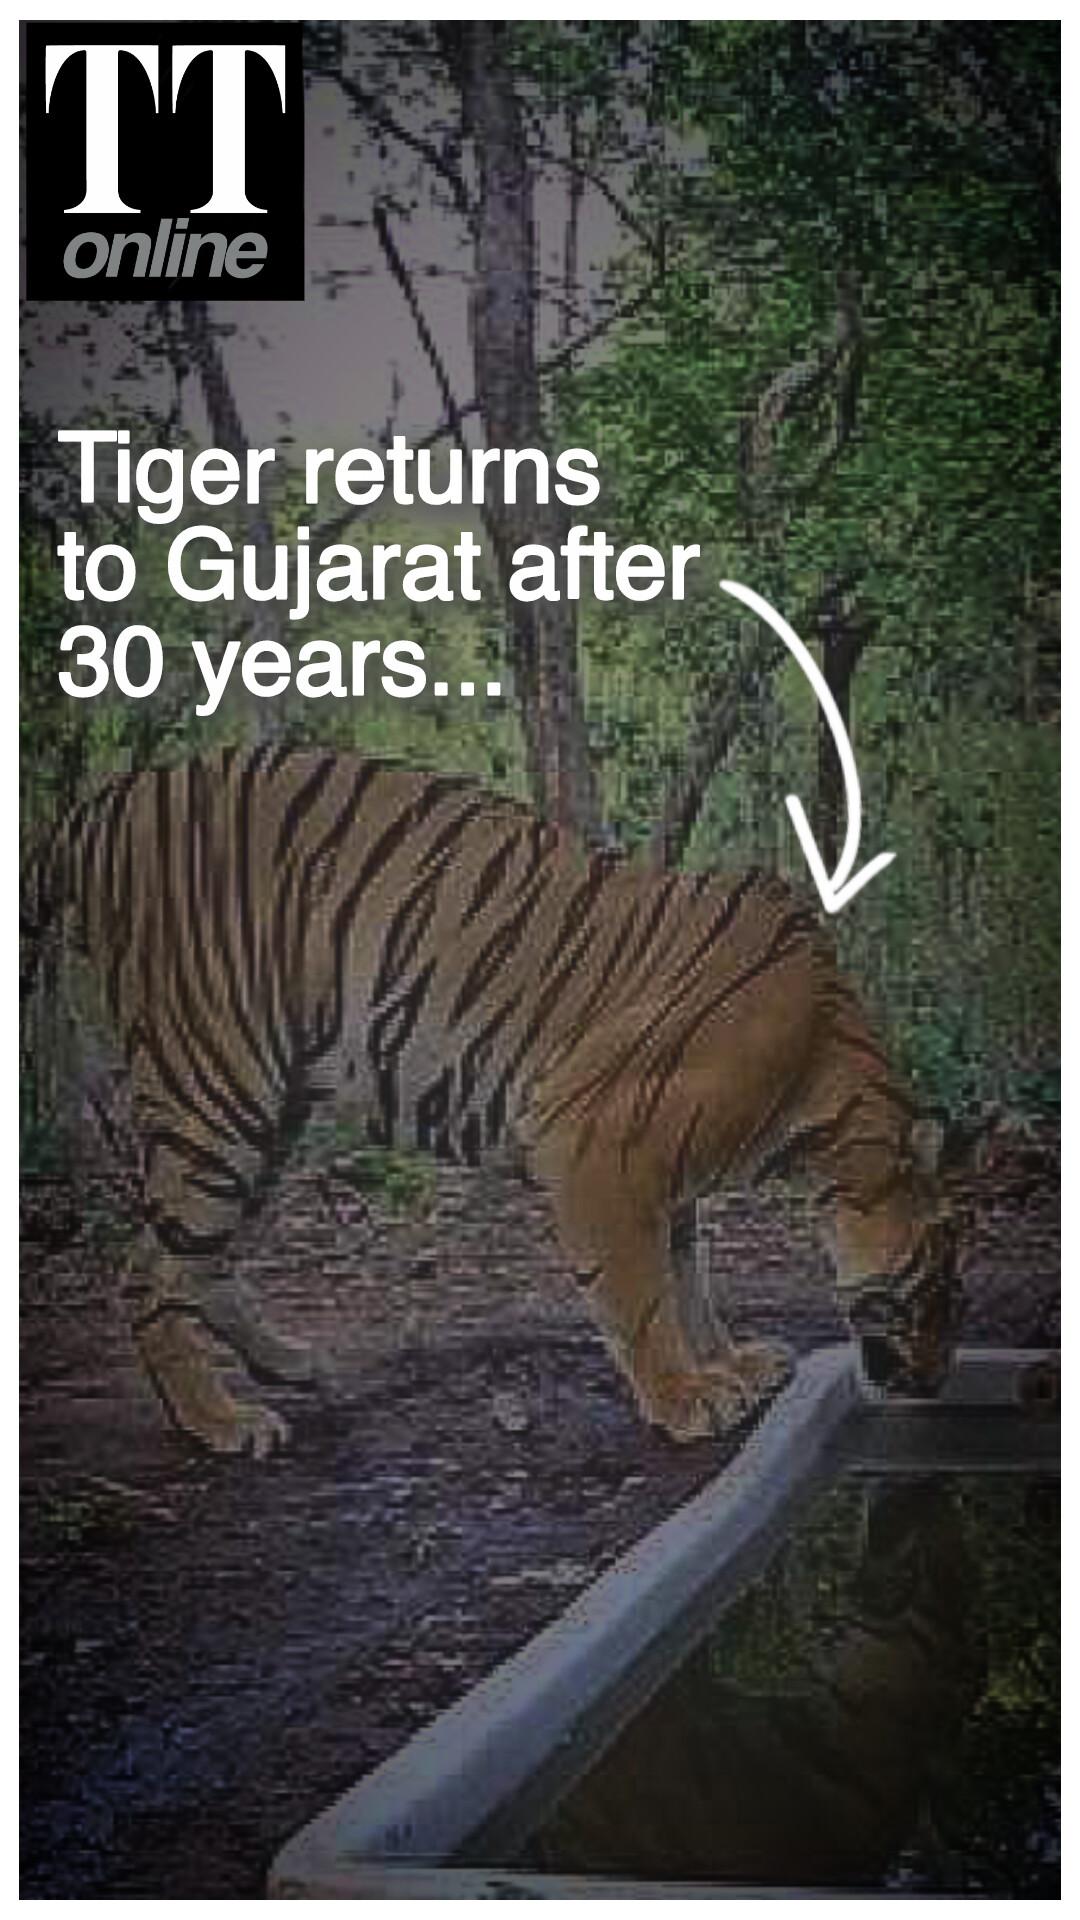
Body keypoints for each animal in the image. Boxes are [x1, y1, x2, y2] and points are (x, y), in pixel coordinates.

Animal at [23, 744, 962, 1457]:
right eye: (937, 1279)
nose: (936, 1383)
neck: (824, 1083)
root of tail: (104, 802)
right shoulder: (597, 1142)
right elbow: (643, 1293)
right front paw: (685, 1398)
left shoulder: (668, 1174)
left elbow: (689, 1277)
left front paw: (731, 1364)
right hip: (218, 1086)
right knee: (149, 1272)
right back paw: (220, 1424)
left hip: (271, 1108)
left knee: (200, 1258)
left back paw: (290, 1364)